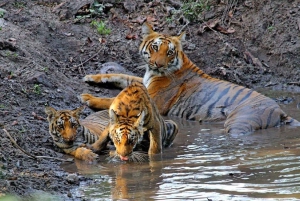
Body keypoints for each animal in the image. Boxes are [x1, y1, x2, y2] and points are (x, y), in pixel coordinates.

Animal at [80, 22, 300, 134]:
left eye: (169, 52)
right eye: (154, 47)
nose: (158, 64)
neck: (153, 72)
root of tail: (280, 110)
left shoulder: (153, 100)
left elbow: (112, 99)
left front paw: (87, 98)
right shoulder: (143, 81)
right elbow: (121, 75)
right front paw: (92, 76)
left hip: (240, 122)